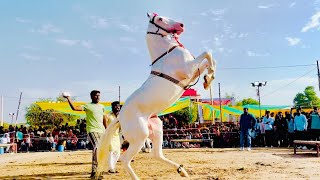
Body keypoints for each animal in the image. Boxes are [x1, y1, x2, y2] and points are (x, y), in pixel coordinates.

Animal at [97, 12, 218, 179]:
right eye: (160, 19)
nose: (181, 25)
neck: (168, 52)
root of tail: (120, 118)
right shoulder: (189, 70)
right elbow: (207, 53)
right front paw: (209, 77)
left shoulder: (193, 72)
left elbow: (209, 60)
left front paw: (208, 79)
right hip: (140, 137)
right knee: (125, 158)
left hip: (156, 129)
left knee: (156, 154)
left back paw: (181, 170)